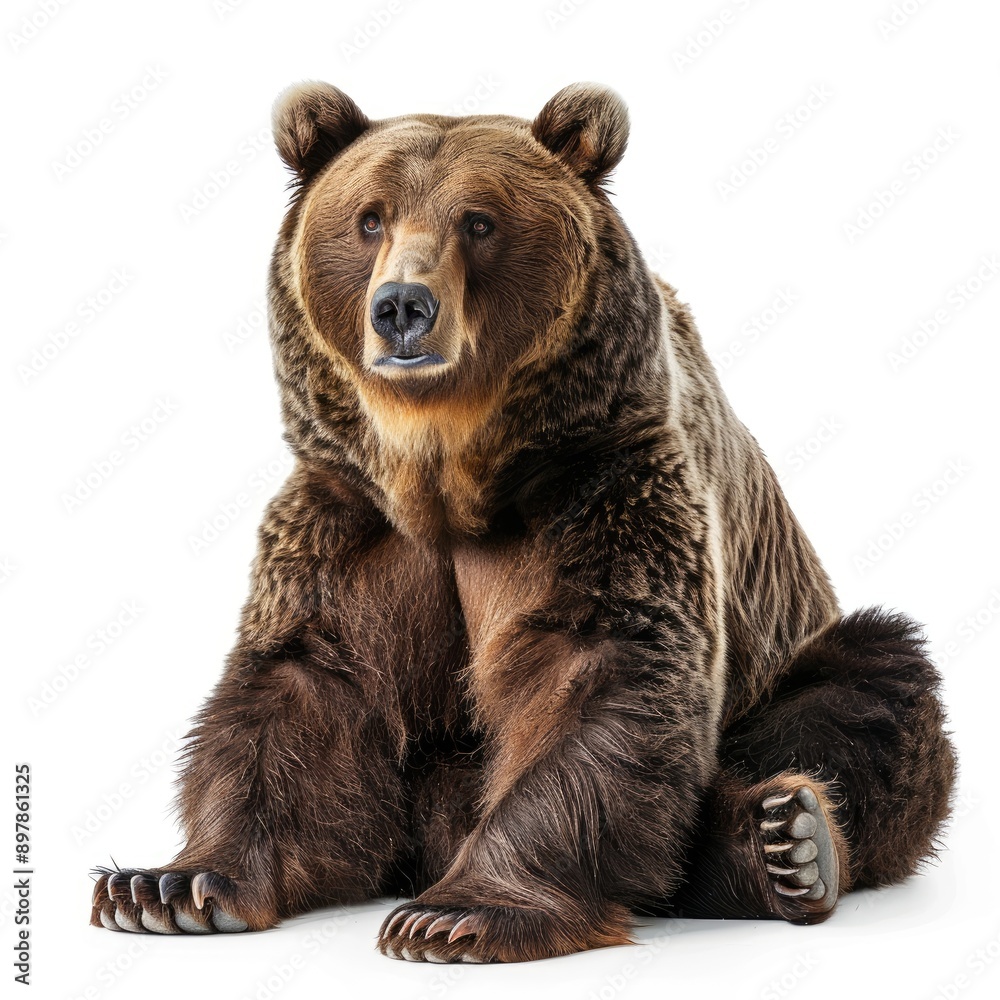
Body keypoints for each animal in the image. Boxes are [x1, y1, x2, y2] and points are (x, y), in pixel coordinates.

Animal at [91, 82, 957, 963]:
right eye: (370, 218)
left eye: (479, 221)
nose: (402, 308)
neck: (444, 471)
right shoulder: (348, 522)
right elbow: (298, 688)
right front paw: (171, 886)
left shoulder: (602, 487)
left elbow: (599, 670)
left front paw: (455, 914)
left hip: (784, 661)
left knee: (869, 690)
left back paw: (794, 841)